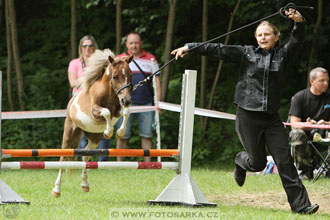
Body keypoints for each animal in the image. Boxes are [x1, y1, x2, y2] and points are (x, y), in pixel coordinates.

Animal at [52, 48, 133, 198]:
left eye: (131, 74)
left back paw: (85, 185)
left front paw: (119, 132)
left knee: (85, 156)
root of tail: (71, 103)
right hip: (69, 134)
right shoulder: (95, 111)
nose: (127, 100)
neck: (109, 93)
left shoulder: (118, 111)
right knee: (63, 158)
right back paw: (56, 190)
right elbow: (106, 112)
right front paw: (108, 132)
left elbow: (126, 112)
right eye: (115, 76)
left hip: (94, 137)